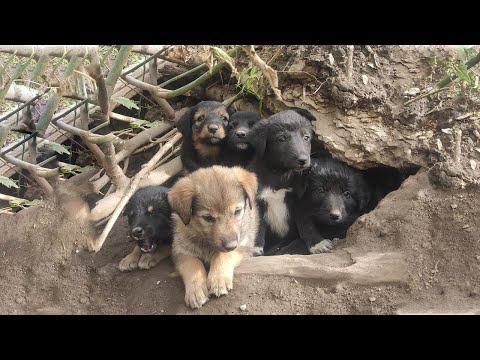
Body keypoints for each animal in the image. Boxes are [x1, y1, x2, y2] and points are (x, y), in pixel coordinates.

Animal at [168, 166, 258, 310]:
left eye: (237, 211)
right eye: (208, 218)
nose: (231, 245)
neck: (206, 242)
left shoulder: (243, 244)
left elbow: (222, 255)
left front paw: (218, 279)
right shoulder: (181, 250)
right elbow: (192, 265)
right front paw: (195, 291)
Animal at [248, 108, 316, 255]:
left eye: (306, 137)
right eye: (282, 139)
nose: (303, 160)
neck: (280, 173)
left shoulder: (298, 199)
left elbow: (306, 224)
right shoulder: (257, 201)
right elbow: (257, 225)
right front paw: (255, 248)